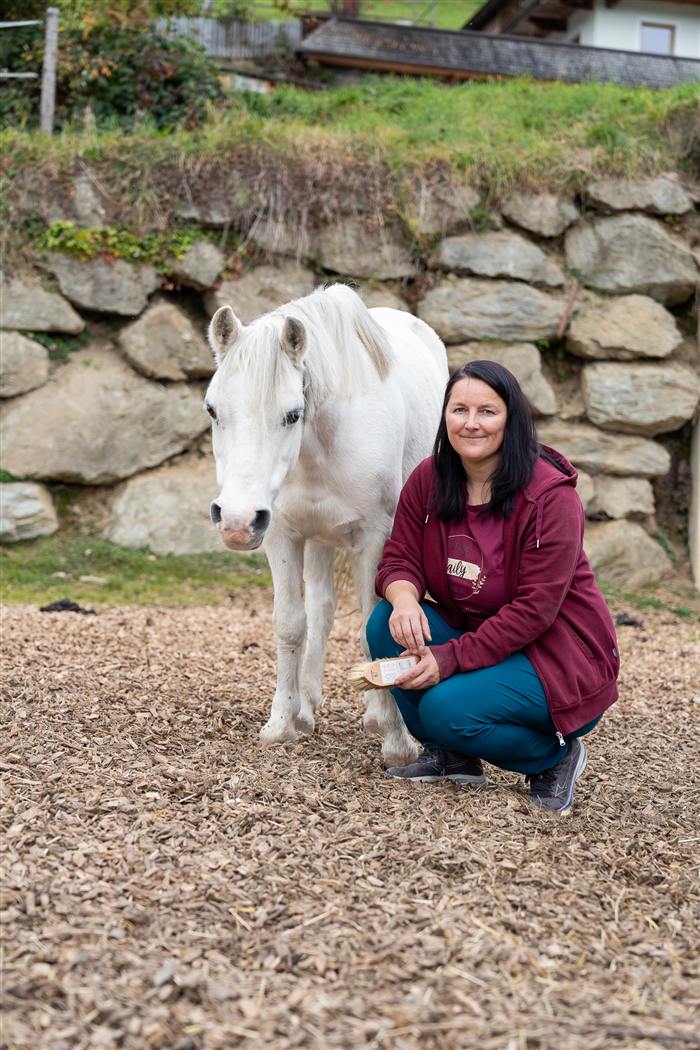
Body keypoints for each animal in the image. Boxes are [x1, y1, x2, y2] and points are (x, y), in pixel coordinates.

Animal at [206, 283, 448, 766]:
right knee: (320, 611)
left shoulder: (375, 540)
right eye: (213, 410)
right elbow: (291, 623)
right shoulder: (282, 535)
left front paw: (396, 739)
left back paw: (372, 713)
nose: (237, 522)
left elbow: (375, 628)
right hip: (317, 540)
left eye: (292, 414)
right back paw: (307, 705)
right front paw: (282, 722)